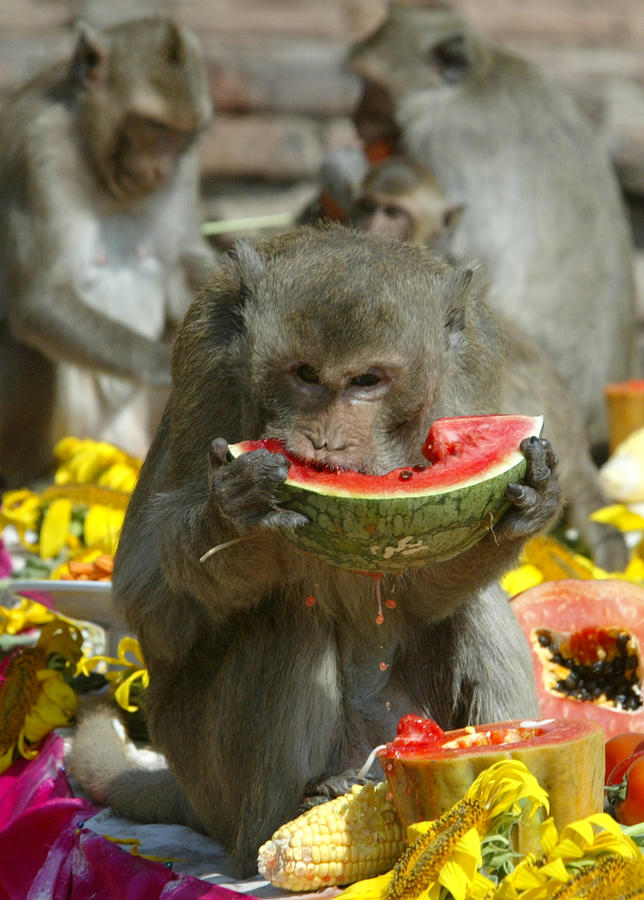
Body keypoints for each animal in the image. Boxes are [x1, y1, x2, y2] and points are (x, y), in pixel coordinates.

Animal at [0, 17, 216, 488]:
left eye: (183, 136)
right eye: (153, 125)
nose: (161, 168)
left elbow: (183, 267)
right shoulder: (36, 146)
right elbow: (40, 299)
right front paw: (171, 368)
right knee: (28, 342)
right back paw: (32, 477)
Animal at [70, 227, 560, 880]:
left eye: (366, 381)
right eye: (305, 374)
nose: (324, 441)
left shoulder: (470, 372)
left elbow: (428, 588)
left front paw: (534, 502)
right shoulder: (206, 369)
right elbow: (153, 603)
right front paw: (236, 510)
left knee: (473, 607)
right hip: (207, 769)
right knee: (285, 619)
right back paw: (286, 820)